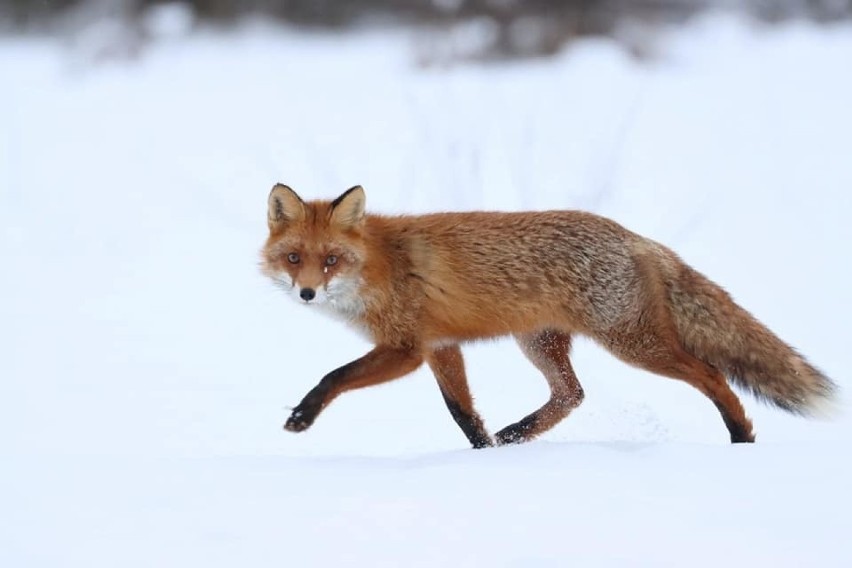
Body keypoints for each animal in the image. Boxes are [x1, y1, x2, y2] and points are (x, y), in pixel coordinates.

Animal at [260, 184, 832, 446]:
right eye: (295, 258)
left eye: (331, 260)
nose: (307, 293)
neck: (380, 266)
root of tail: (636, 238)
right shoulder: (441, 346)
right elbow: (462, 413)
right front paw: (484, 452)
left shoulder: (405, 349)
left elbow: (334, 376)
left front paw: (302, 416)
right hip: (540, 343)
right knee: (572, 394)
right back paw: (518, 433)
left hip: (634, 345)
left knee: (712, 374)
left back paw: (741, 436)